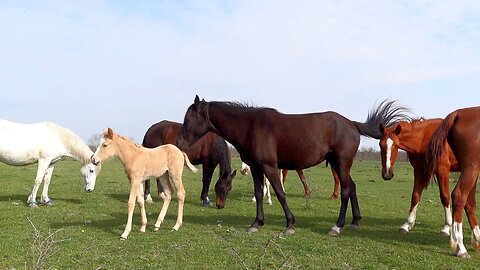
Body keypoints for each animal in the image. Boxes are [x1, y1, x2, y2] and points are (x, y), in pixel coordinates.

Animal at [176, 96, 408, 235]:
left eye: (189, 118)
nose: (180, 143)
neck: (250, 126)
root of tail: (352, 124)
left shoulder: (270, 167)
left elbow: (280, 193)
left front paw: (289, 224)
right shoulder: (257, 168)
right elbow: (259, 193)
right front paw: (257, 223)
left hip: (341, 163)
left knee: (345, 191)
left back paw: (337, 226)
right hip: (338, 164)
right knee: (352, 187)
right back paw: (355, 220)